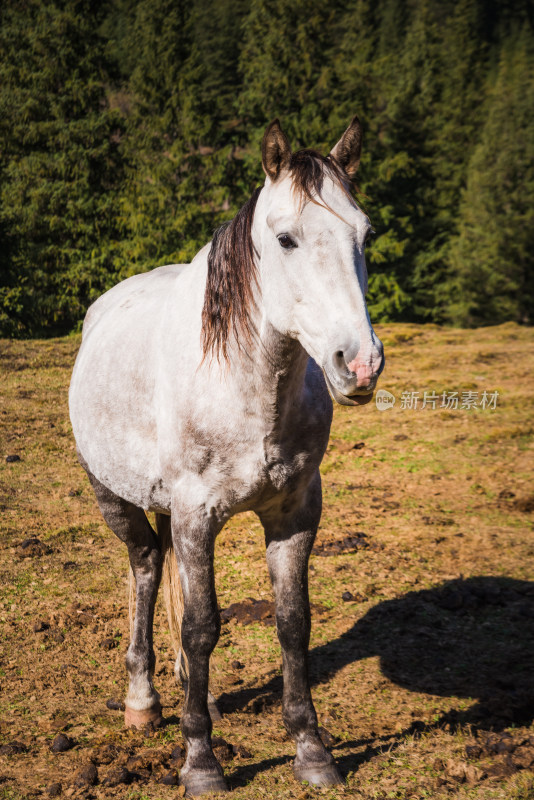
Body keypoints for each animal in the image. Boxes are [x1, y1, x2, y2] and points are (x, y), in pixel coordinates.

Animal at [70, 117, 386, 792]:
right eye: (286, 238)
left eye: (366, 233)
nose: (360, 364)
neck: (247, 385)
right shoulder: (197, 515)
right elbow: (203, 626)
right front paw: (200, 763)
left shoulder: (295, 513)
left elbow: (292, 622)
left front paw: (312, 751)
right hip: (115, 497)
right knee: (145, 567)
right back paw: (144, 702)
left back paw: (199, 694)